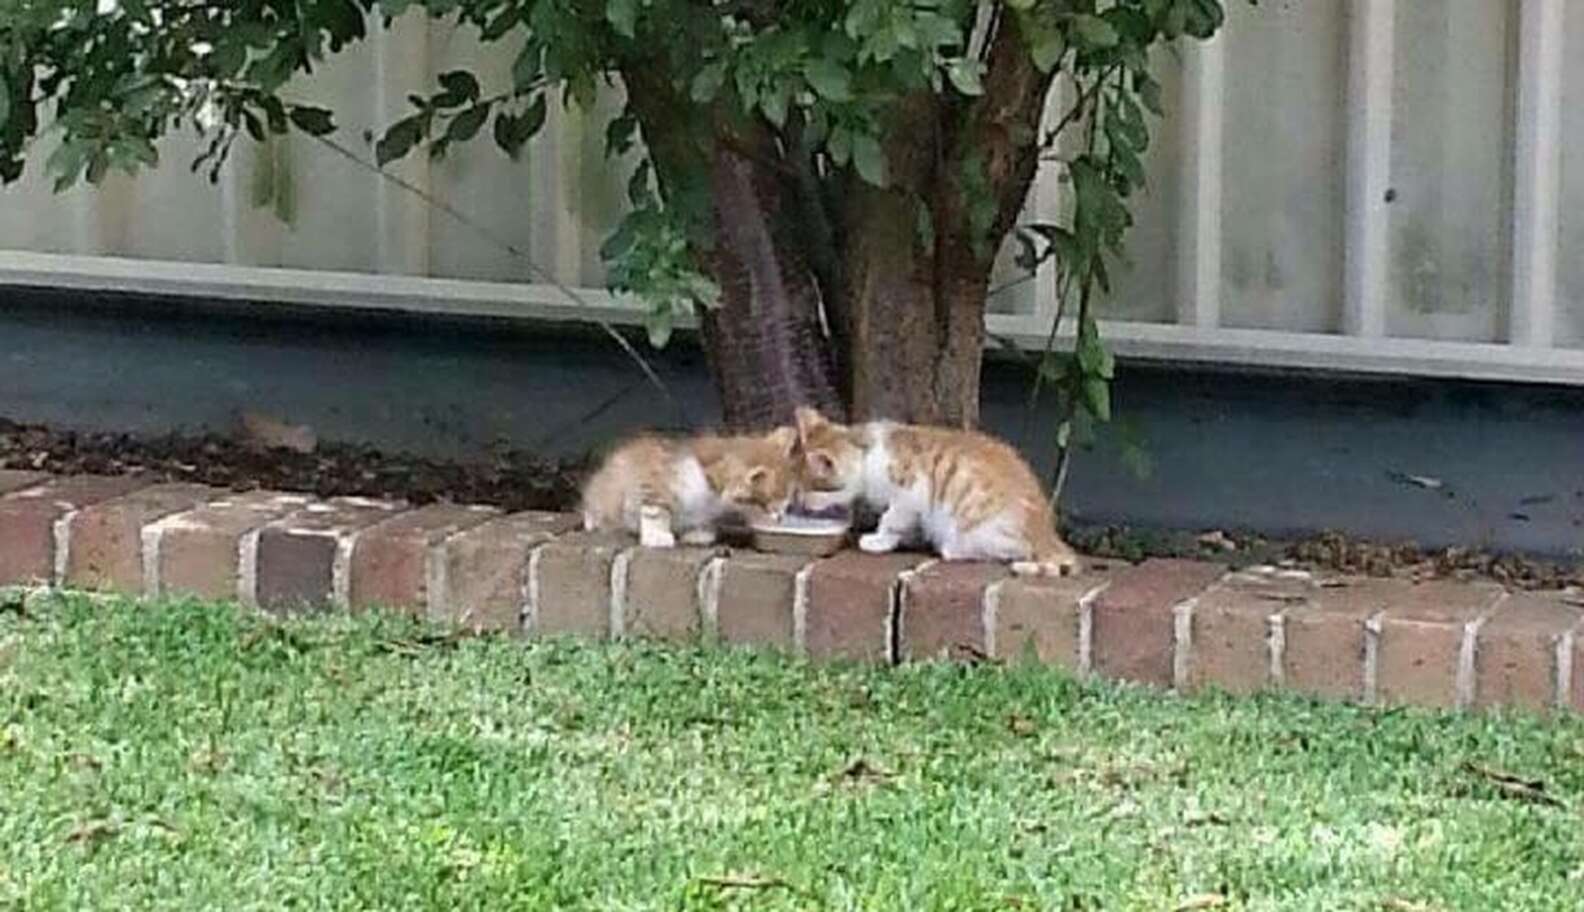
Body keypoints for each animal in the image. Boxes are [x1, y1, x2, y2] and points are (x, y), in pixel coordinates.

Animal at [582, 430, 798, 547]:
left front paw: (697, 533)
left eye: (786, 503)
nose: (780, 517)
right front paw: (657, 536)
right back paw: (594, 520)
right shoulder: (653, 483)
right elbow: (655, 511)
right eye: (771, 506)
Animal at [788, 408, 1077, 576]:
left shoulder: (912, 492)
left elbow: (891, 518)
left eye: (807, 489)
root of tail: (1046, 533)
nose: (800, 504)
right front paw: (894, 541)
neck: (867, 453)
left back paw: (953, 549)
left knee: (1012, 550)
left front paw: (878, 539)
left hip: (977, 521)